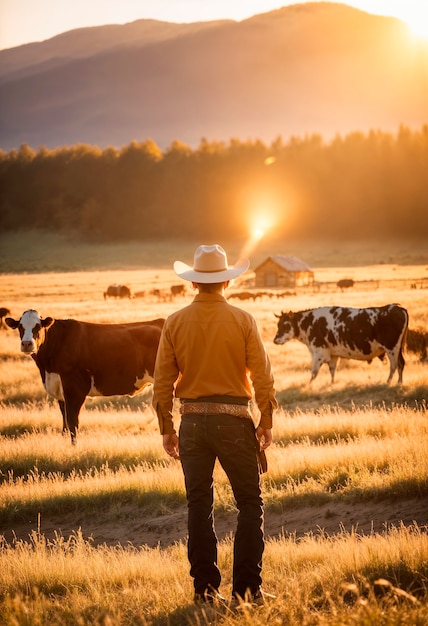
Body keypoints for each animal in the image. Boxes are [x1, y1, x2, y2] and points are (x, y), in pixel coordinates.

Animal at [5, 310, 165, 442]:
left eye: (38, 326)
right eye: (20, 326)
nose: (27, 343)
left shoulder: (75, 390)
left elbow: (72, 423)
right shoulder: (60, 392)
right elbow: (64, 422)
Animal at [272, 304, 410, 382]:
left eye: (285, 325)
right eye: (278, 324)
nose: (275, 340)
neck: (311, 323)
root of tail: (398, 308)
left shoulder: (319, 353)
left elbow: (314, 372)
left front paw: (309, 386)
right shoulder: (333, 355)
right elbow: (332, 371)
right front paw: (331, 385)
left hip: (392, 349)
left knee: (394, 366)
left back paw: (389, 382)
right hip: (397, 349)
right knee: (401, 364)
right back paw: (399, 383)